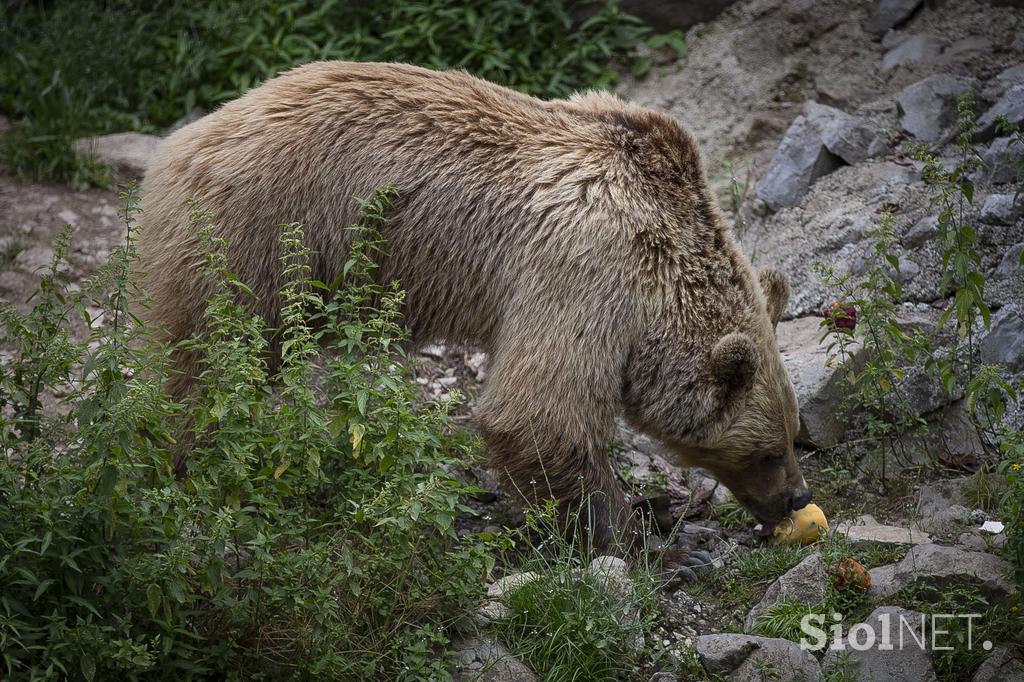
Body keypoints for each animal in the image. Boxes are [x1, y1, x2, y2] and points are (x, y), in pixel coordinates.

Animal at [138, 61, 806, 548]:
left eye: (795, 437)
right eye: (767, 452)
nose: (796, 497)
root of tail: (180, 143)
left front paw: (659, 513)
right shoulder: (586, 272)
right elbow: (536, 414)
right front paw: (653, 542)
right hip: (260, 236)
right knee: (209, 360)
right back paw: (190, 463)